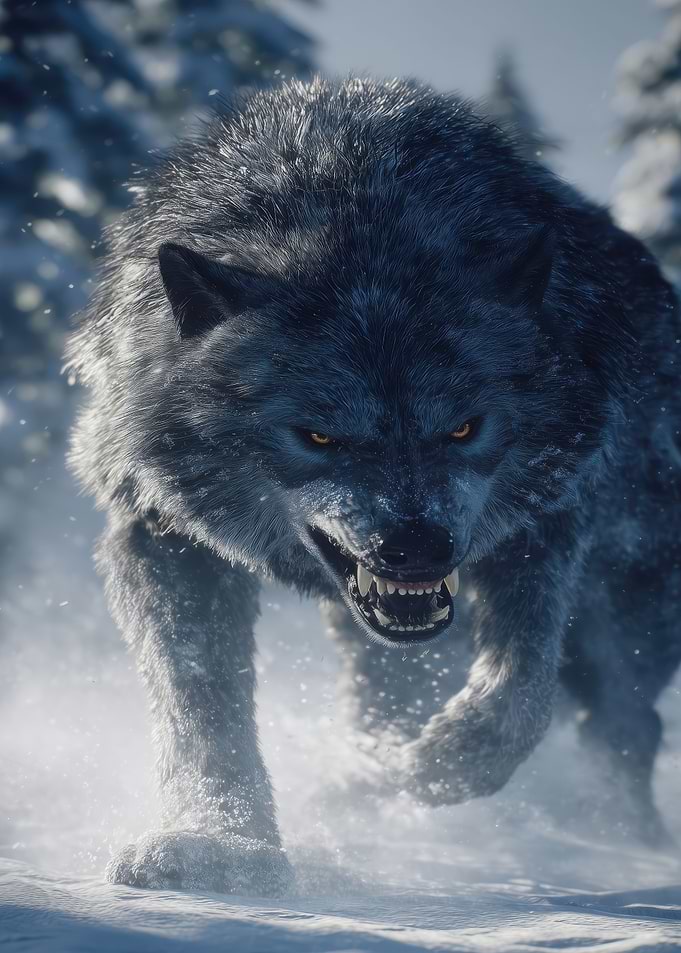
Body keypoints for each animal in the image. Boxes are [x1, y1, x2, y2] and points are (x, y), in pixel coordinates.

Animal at [67, 76, 681, 894]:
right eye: (319, 437)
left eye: (463, 429)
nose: (416, 549)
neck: (360, 209)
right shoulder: (161, 531)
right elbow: (202, 709)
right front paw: (220, 843)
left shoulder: (546, 523)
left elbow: (521, 694)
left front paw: (441, 766)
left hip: (624, 603)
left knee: (624, 721)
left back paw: (610, 836)